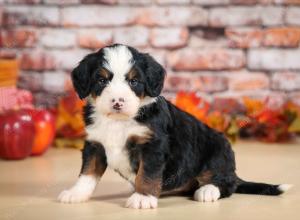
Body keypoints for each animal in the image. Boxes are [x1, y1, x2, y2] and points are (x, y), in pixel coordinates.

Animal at [57, 43, 292, 209]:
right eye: (101, 80)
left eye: (134, 81)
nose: (117, 102)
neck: (119, 121)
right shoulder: (95, 144)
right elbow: (88, 173)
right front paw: (76, 193)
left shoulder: (153, 146)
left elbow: (147, 174)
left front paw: (143, 197)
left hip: (217, 151)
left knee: (226, 183)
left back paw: (207, 191)